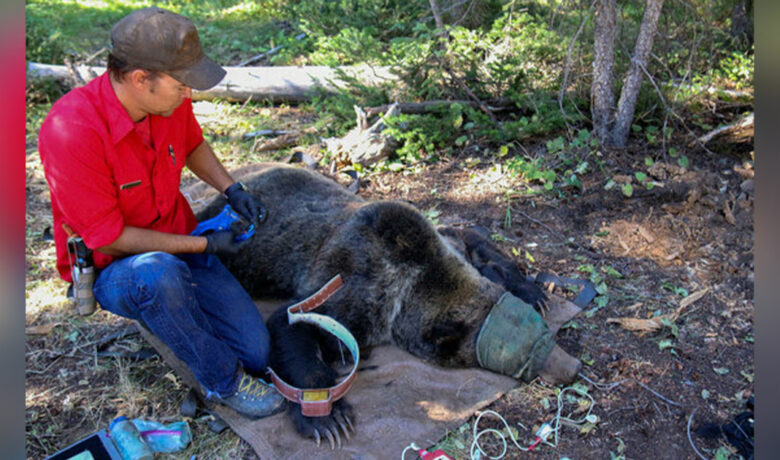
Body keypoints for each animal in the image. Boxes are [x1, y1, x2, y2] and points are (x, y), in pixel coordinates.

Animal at [198, 163, 580, 445]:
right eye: (522, 356)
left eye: (541, 334)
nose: (571, 367)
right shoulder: (355, 288)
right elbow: (293, 324)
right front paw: (328, 418)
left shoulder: (444, 243)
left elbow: (473, 238)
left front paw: (532, 291)